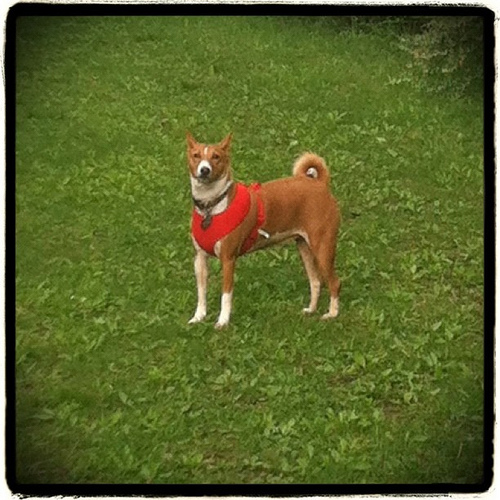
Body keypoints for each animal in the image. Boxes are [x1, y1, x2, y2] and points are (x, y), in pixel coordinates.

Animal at [187, 132, 341, 328]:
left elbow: (226, 296)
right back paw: (311, 310)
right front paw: (198, 317)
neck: (210, 207)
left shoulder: (228, 259)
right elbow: (201, 293)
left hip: (322, 247)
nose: (204, 170)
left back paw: (332, 314)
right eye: (196, 156)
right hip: (304, 247)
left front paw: (222, 321)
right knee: (315, 281)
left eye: (216, 157)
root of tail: (320, 184)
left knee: (335, 282)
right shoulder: (199, 259)